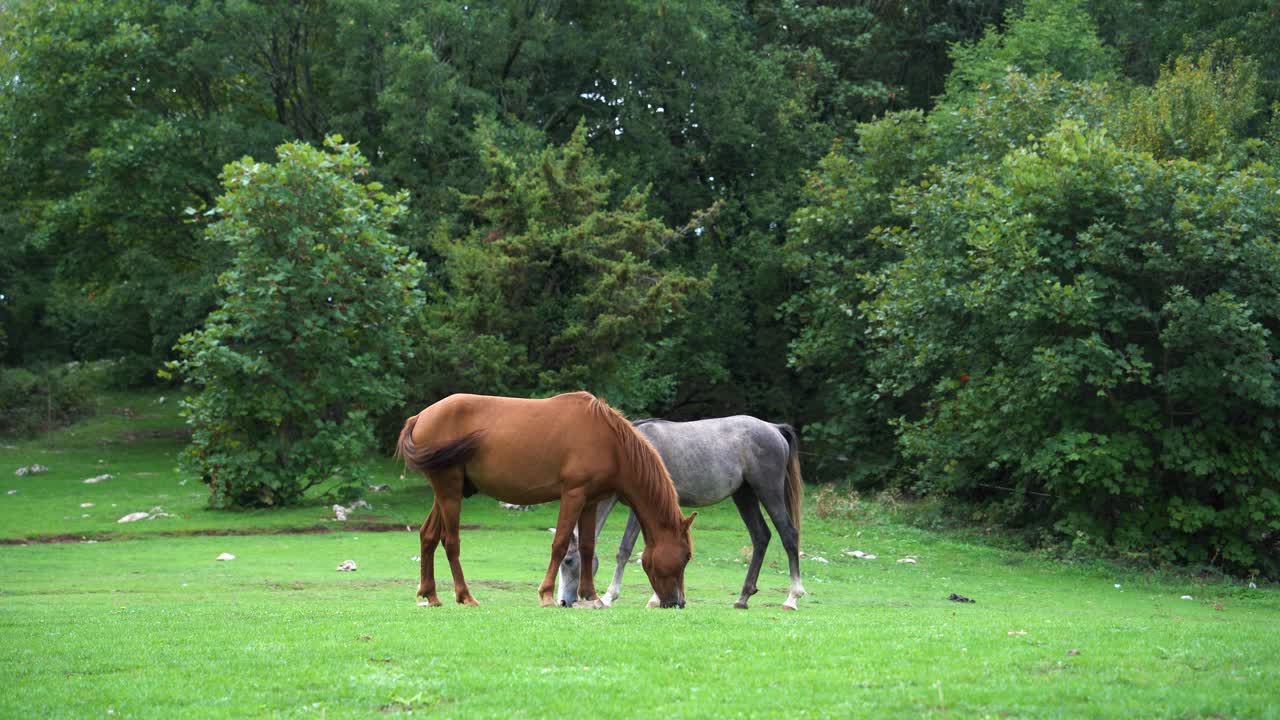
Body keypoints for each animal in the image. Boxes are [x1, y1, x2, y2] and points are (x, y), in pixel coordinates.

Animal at [395, 391, 696, 608]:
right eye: (685, 557)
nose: (678, 603)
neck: (610, 442)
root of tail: (421, 416)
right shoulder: (573, 494)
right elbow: (560, 544)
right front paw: (547, 594)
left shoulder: (590, 501)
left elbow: (587, 547)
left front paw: (591, 596)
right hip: (450, 490)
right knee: (450, 542)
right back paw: (465, 596)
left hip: (448, 492)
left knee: (428, 536)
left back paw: (431, 595)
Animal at [557, 416, 805, 610]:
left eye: (568, 561)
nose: (564, 602)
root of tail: (774, 428)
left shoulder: (640, 509)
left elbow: (625, 550)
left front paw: (610, 596)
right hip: (744, 495)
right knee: (761, 536)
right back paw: (743, 598)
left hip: (769, 492)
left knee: (788, 535)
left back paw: (792, 598)